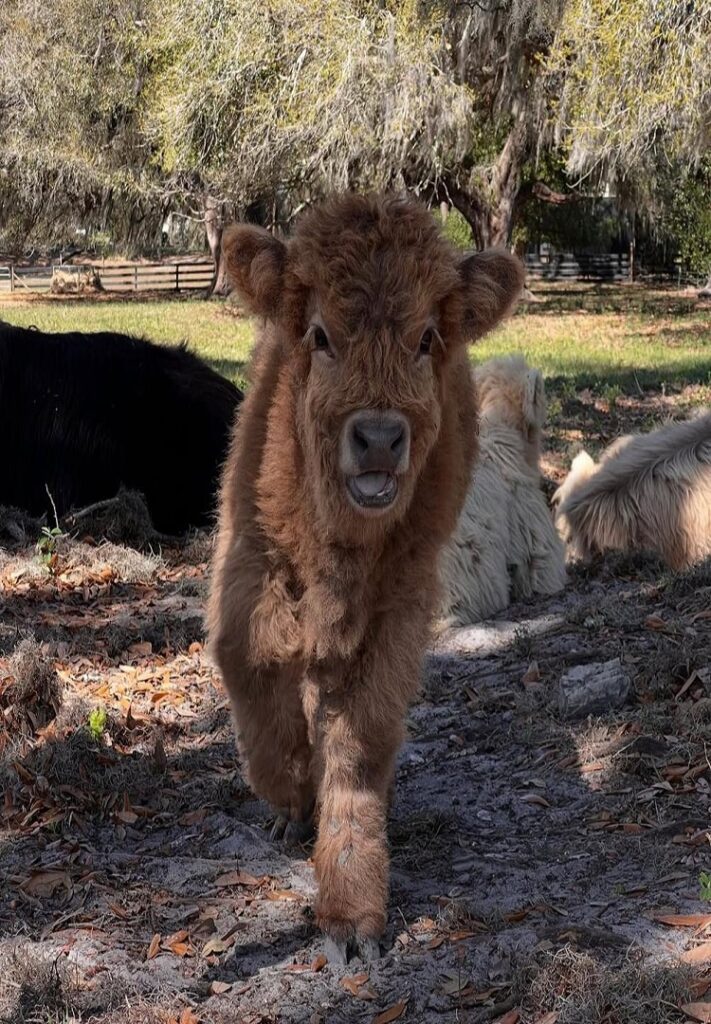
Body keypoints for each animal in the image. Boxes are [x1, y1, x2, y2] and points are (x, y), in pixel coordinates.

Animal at [207, 192, 524, 962]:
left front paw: (351, 912)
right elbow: (255, 675)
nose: (379, 438)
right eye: (320, 335)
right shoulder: (246, 570)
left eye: (426, 339)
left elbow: (358, 744)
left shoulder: (397, 611)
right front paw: (291, 798)